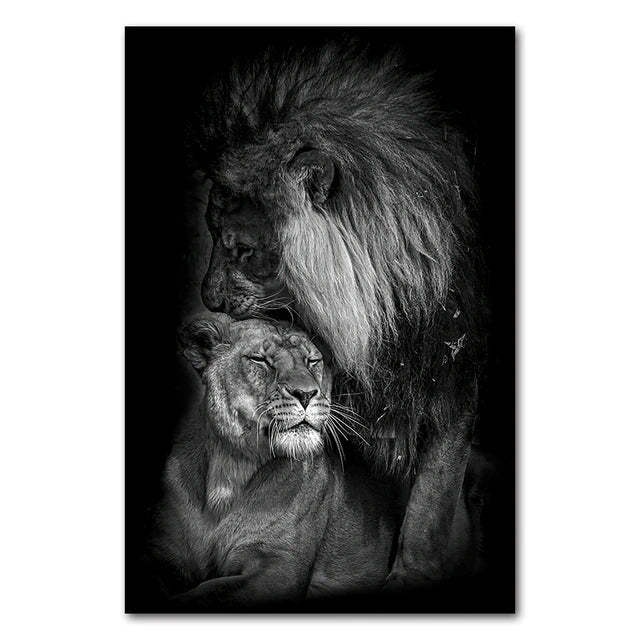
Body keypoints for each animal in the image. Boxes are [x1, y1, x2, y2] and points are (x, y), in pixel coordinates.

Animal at [147, 313, 400, 611]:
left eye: (312, 361)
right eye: (260, 360)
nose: (306, 394)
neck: (229, 469)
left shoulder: (278, 566)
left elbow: (206, 594)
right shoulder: (163, 553)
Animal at [191, 41, 486, 587]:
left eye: (242, 249)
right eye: (211, 233)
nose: (210, 300)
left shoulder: (452, 376)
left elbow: (432, 499)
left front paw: (411, 573)